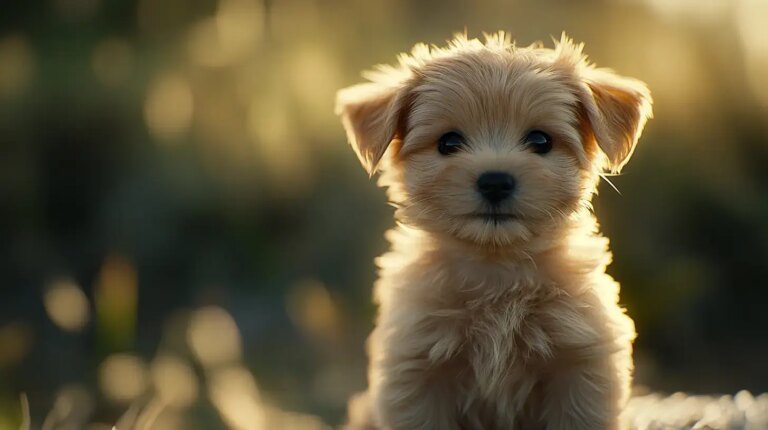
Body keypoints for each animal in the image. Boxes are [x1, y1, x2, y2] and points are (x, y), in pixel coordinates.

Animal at [334, 32, 648, 430]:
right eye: (448, 142)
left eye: (541, 140)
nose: (495, 182)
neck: (496, 268)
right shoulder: (417, 371)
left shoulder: (581, 364)